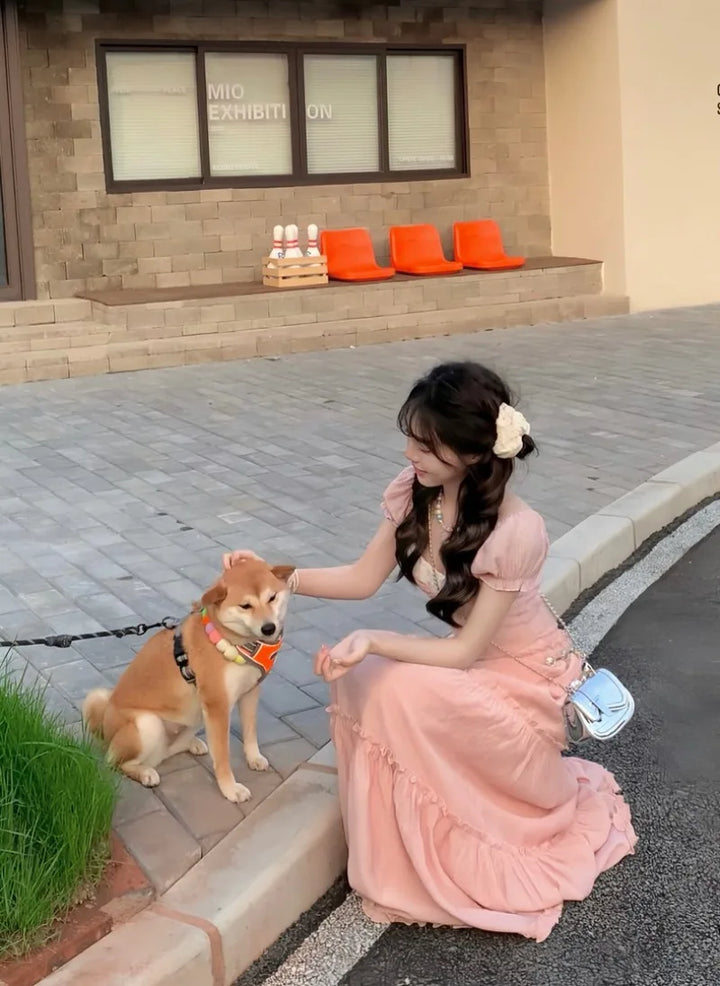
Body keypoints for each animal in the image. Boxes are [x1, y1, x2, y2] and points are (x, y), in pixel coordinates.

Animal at [82, 558, 294, 803]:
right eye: (245, 606)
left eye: (272, 597)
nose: (268, 627)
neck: (232, 639)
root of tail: (105, 724)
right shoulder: (218, 705)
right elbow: (222, 756)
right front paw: (230, 789)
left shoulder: (250, 692)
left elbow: (250, 733)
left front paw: (254, 758)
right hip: (147, 724)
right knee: (115, 761)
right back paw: (144, 773)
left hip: (195, 716)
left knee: (169, 749)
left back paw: (190, 744)